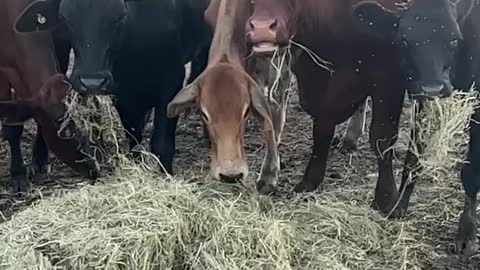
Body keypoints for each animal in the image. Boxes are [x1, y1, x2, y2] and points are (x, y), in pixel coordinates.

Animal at [0, 0, 99, 194]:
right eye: (64, 129)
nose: (95, 168)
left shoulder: (60, 36)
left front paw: (39, 159)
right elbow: (12, 126)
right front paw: (18, 174)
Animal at [15, 0, 211, 173]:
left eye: (119, 17)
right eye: (64, 18)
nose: (92, 82)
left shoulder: (172, 79)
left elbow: (162, 143)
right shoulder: (121, 91)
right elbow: (133, 132)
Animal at [246, 0, 410, 216]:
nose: (262, 29)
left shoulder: (390, 74)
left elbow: (382, 137)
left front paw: (387, 199)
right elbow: (322, 129)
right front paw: (310, 181)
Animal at [354, 0, 480, 255]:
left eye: (455, 39)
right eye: (404, 40)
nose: (433, 88)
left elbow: (472, 171)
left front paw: (467, 234)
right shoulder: (421, 102)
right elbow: (412, 158)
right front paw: (399, 205)